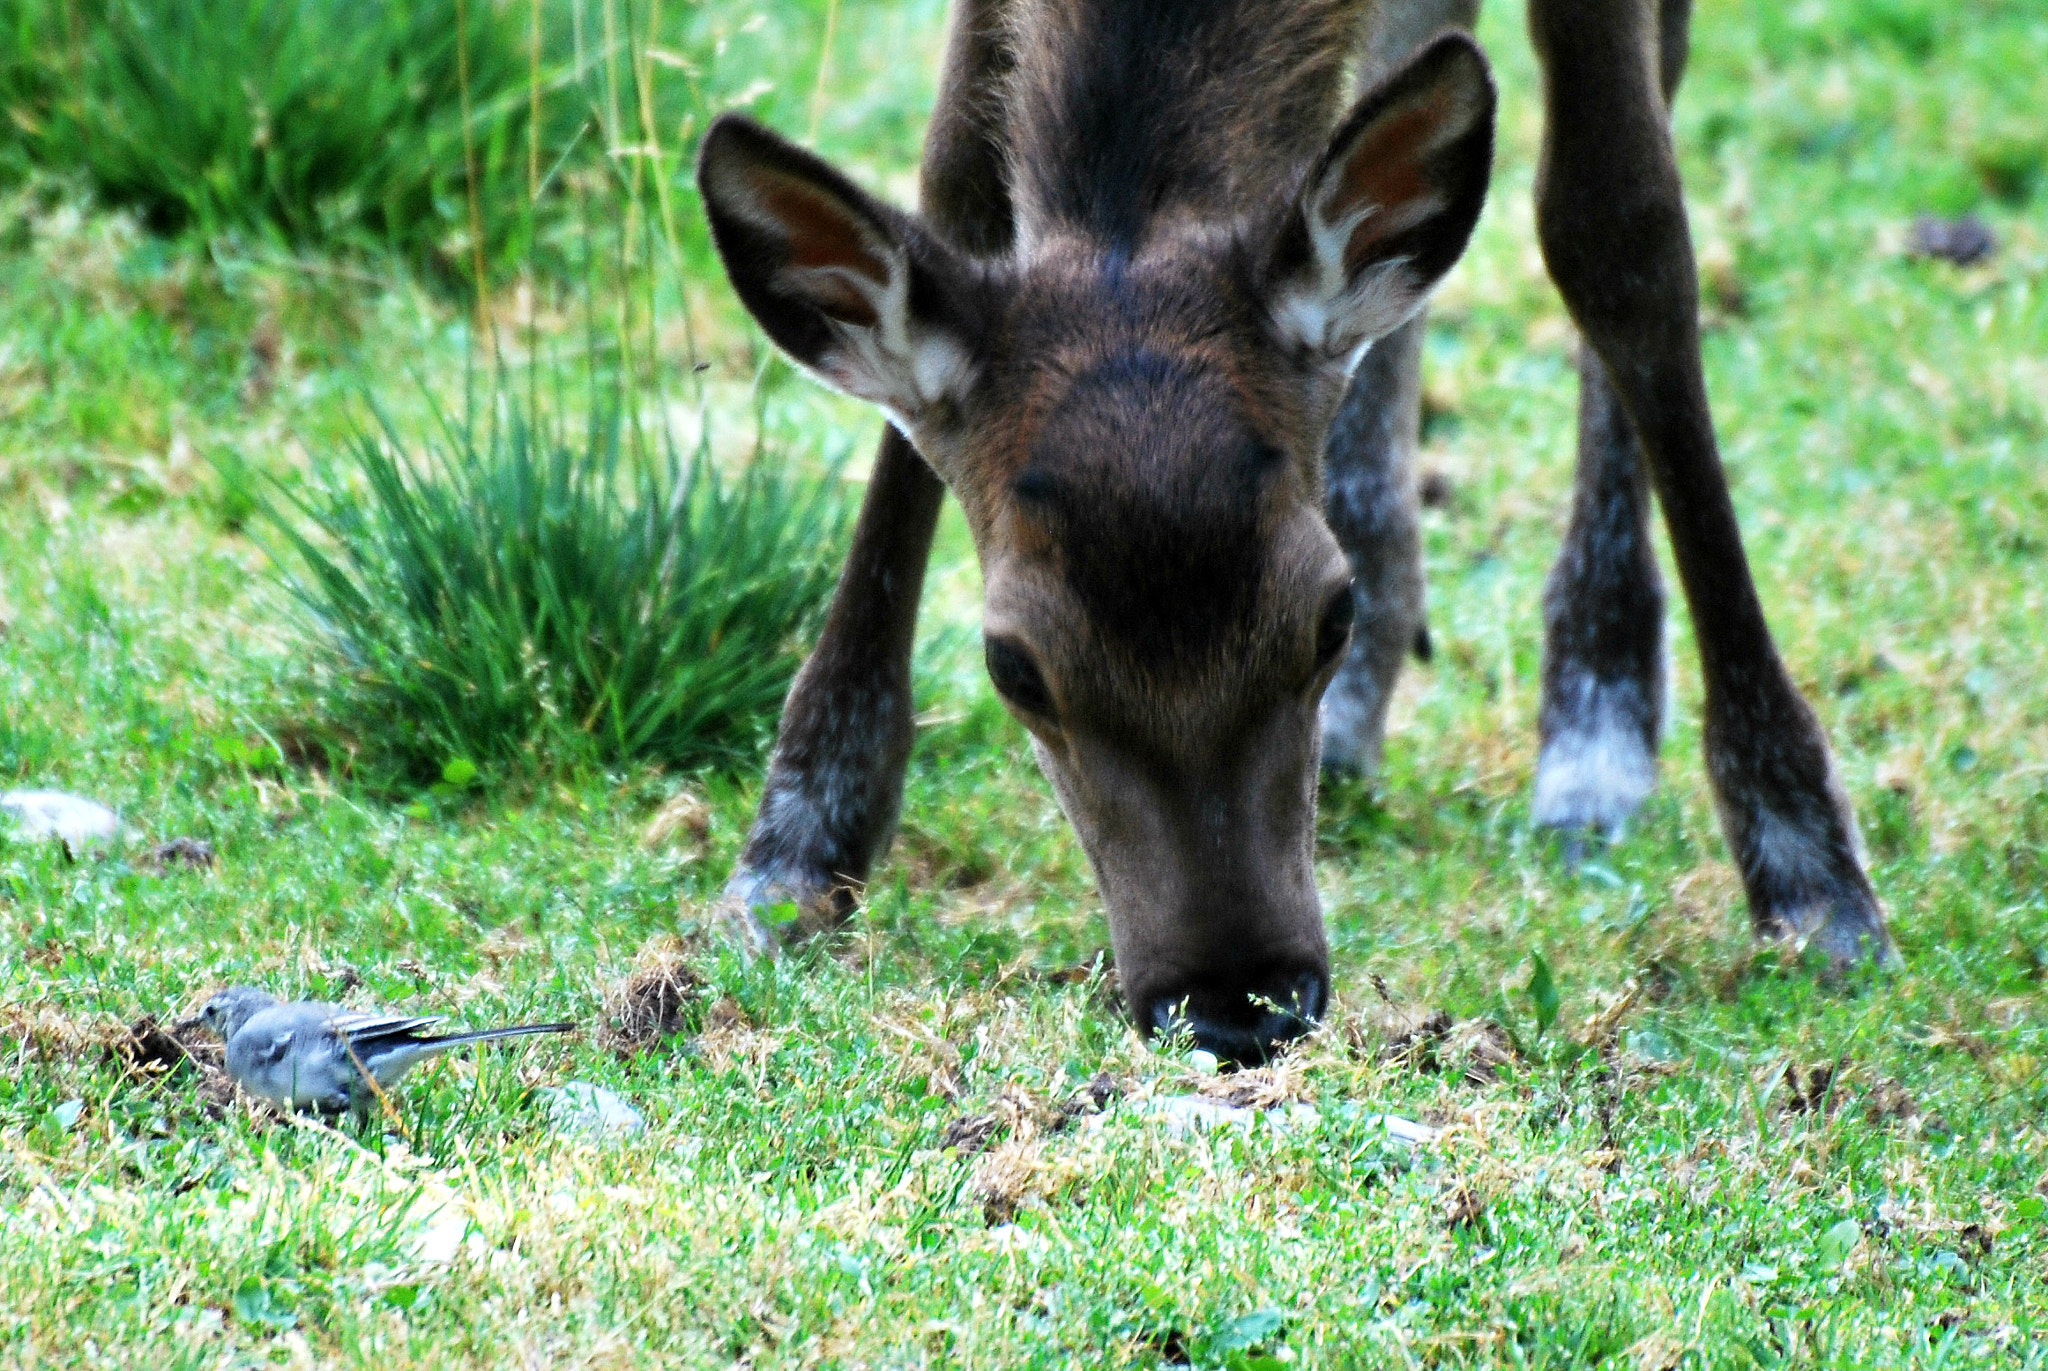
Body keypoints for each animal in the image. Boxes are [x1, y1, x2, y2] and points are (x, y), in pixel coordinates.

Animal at [693, 0, 1893, 1065]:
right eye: (1010, 667)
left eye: (1328, 613)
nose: (1238, 1005)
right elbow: (954, 191)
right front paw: (796, 847)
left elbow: (1620, 228)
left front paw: (1810, 871)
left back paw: (1595, 713)